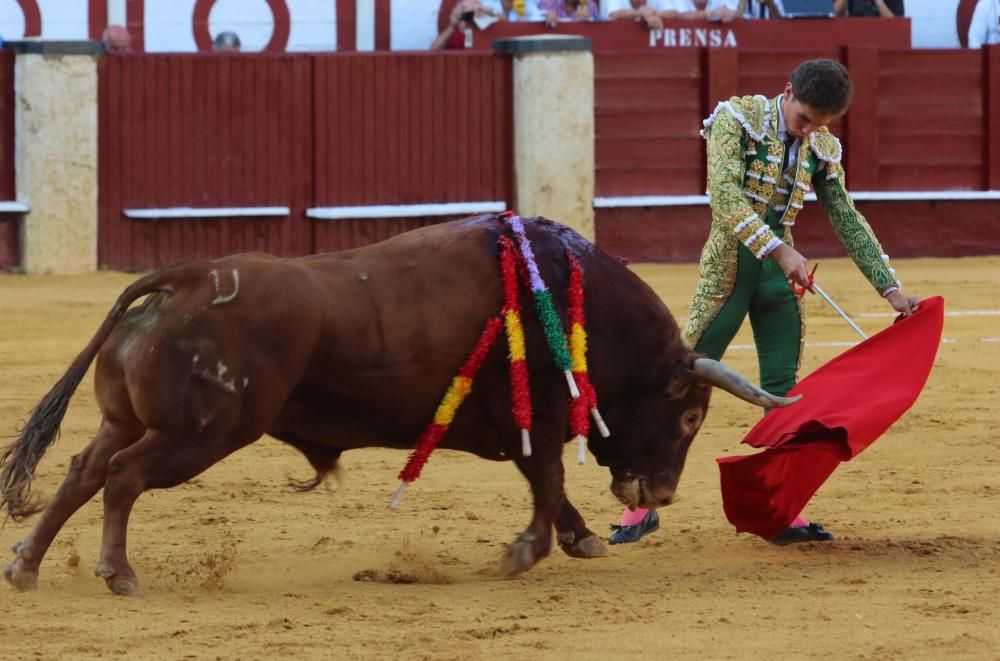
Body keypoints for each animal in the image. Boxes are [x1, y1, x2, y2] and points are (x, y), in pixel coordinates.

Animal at [1, 215, 796, 592]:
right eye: (689, 417)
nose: (660, 492)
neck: (578, 303)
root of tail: (188, 276)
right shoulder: (536, 423)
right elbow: (547, 484)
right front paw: (525, 552)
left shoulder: (517, 429)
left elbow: (549, 488)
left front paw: (580, 538)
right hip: (197, 435)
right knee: (123, 477)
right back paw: (119, 574)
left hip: (127, 419)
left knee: (82, 470)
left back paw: (27, 565)